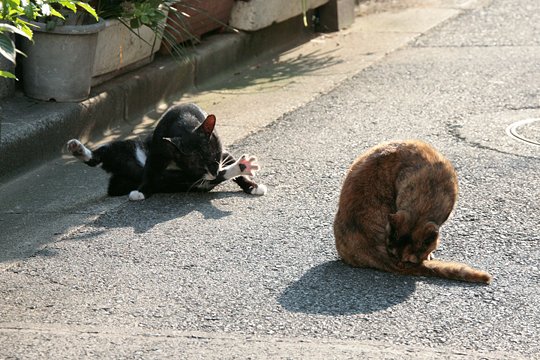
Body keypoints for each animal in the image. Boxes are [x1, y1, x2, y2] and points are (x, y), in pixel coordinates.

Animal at [66, 102, 266, 201]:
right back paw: (77, 148)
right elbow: (150, 171)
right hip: (123, 149)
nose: (213, 170)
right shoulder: (157, 152)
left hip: (186, 182)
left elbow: (231, 170)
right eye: (197, 164)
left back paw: (243, 167)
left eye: (215, 155)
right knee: (99, 156)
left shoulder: (223, 156)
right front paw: (142, 191)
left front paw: (250, 184)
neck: (185, 123)